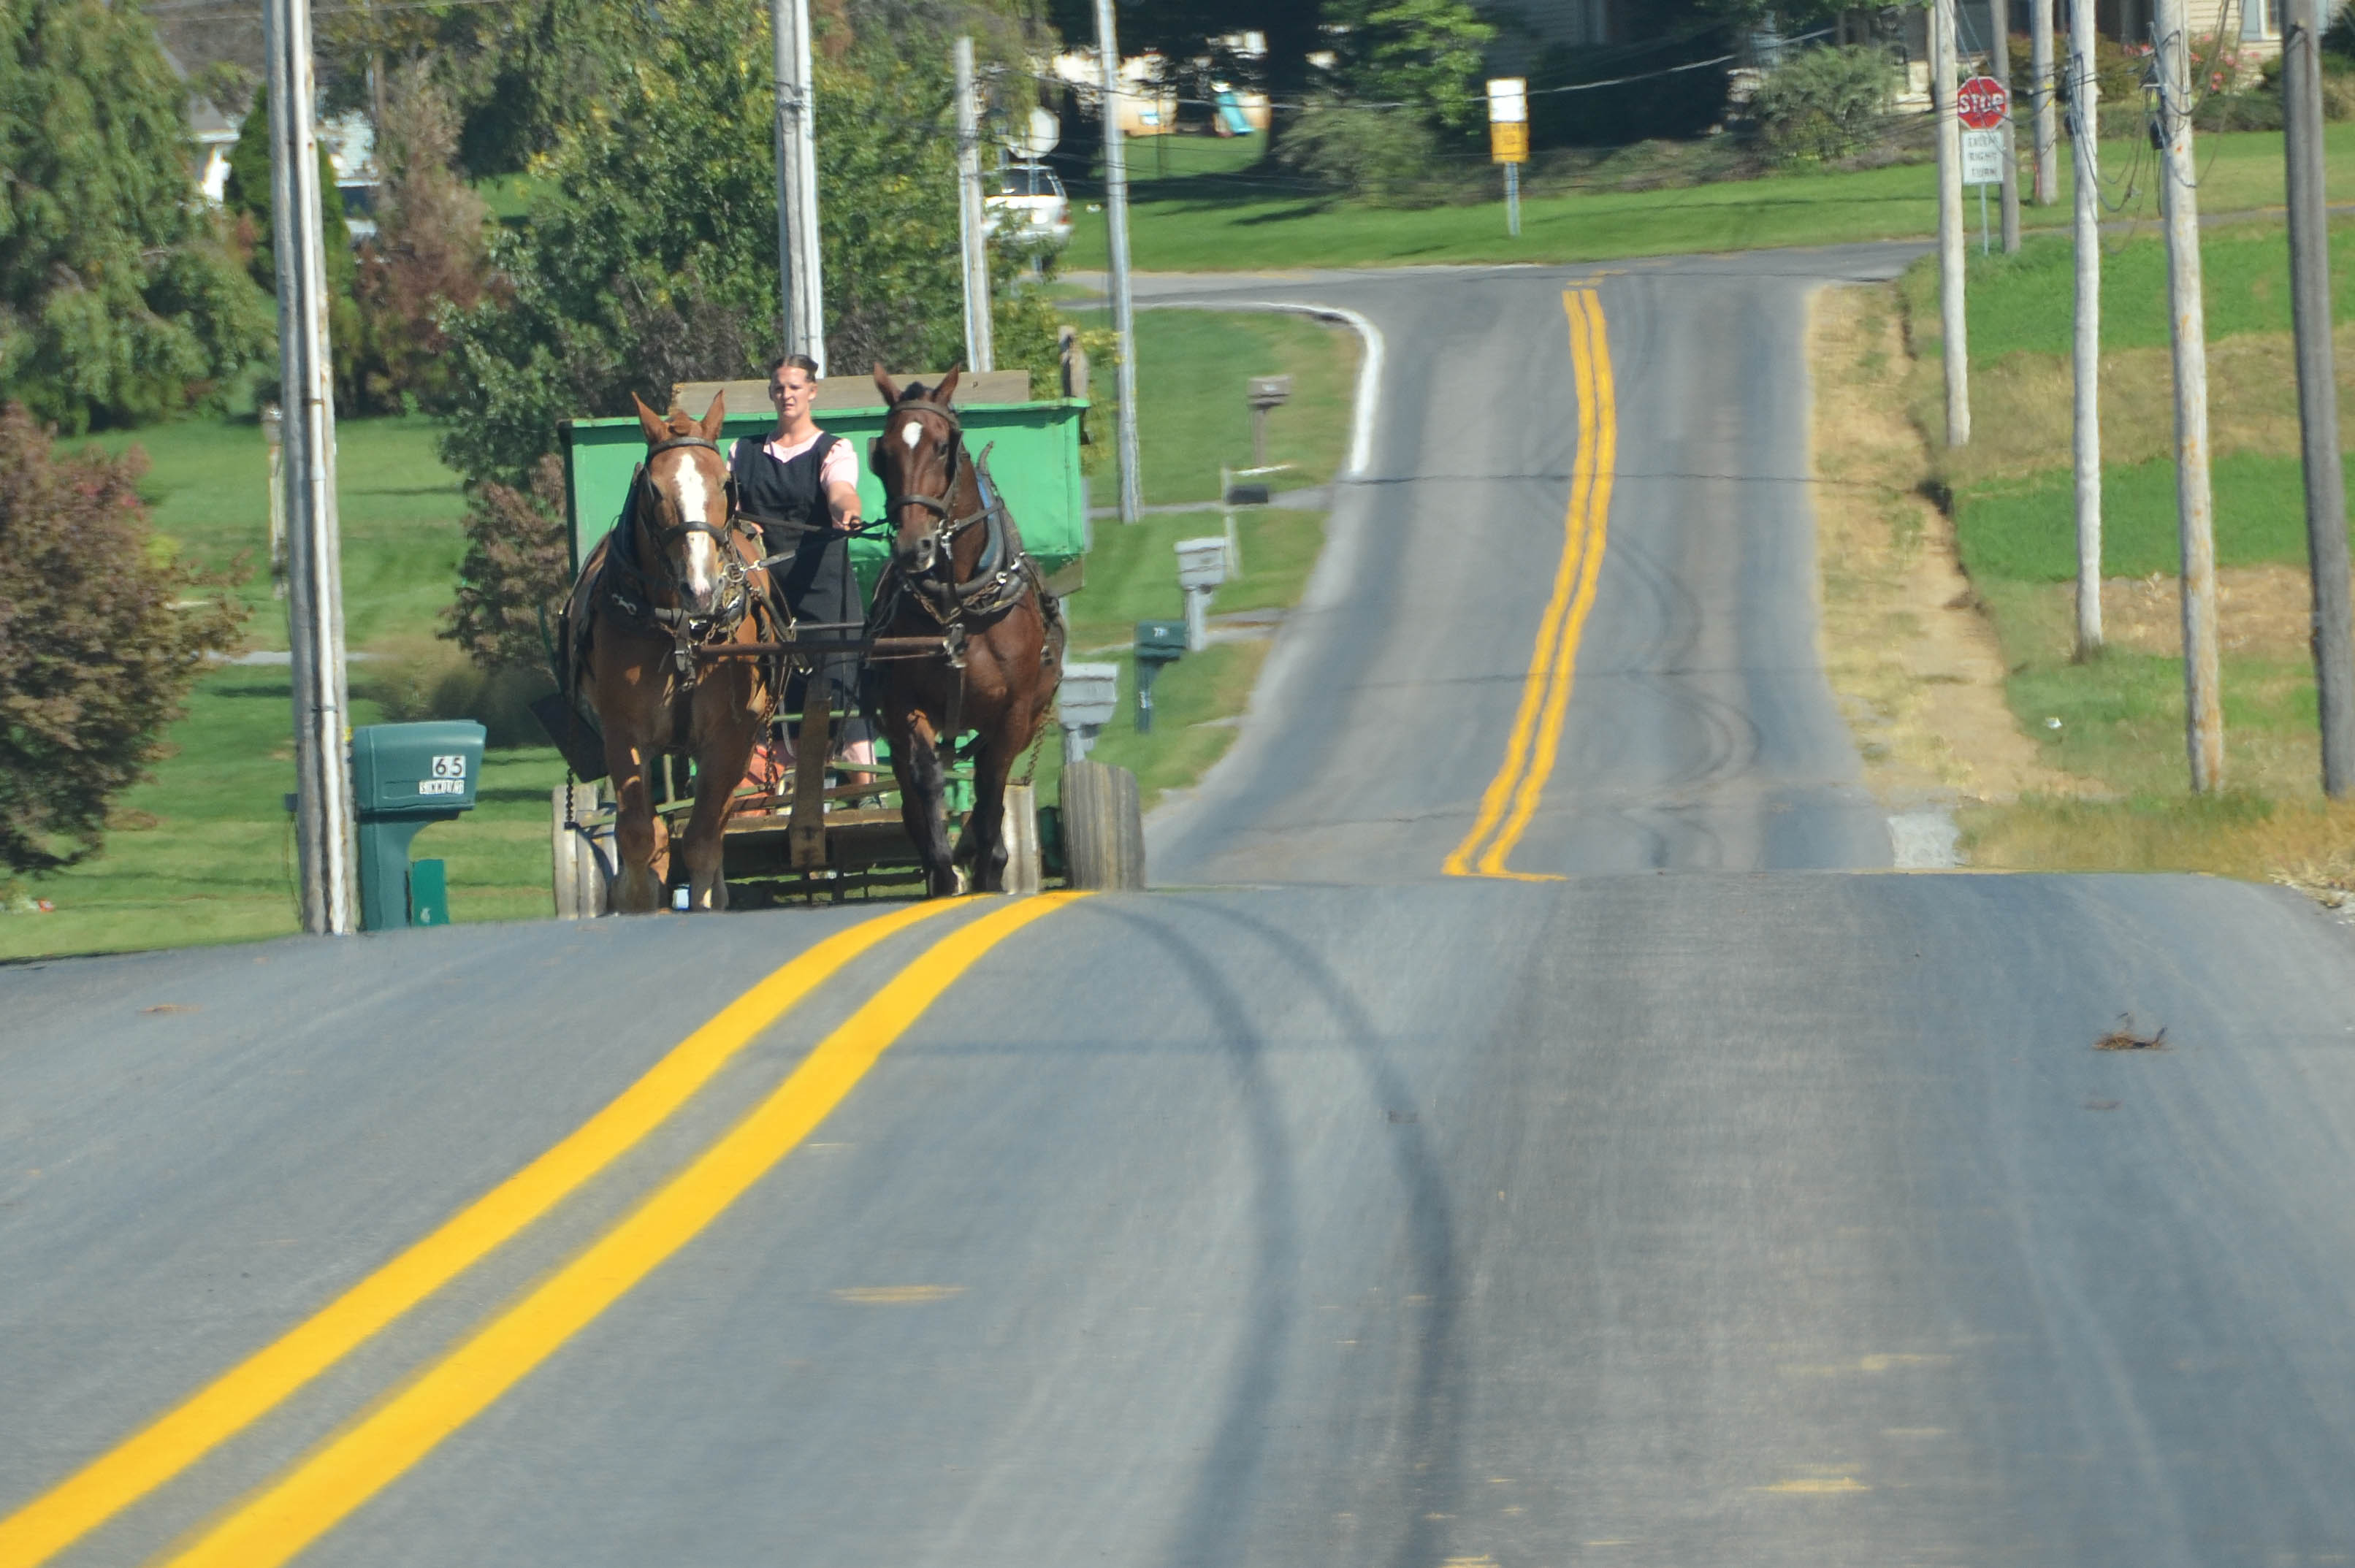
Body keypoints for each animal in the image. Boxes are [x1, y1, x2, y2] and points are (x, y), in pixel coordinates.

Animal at [579, 388, 772, 918]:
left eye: (725, 483)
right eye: (653, 489)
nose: (700, 588)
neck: (683, 630)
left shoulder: (730, 736)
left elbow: (703, 839)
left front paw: (705, 899)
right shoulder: (623, 732)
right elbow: (640, 836)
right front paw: (639, 899)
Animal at [866, 364, 1069, 890]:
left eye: (943, 445)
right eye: (883, 452)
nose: (914, 547)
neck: (956, 606)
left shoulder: (1014, 711)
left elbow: (991, 784)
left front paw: (990, 865)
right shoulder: (903, 704)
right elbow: (927, 779)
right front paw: (943, 869)